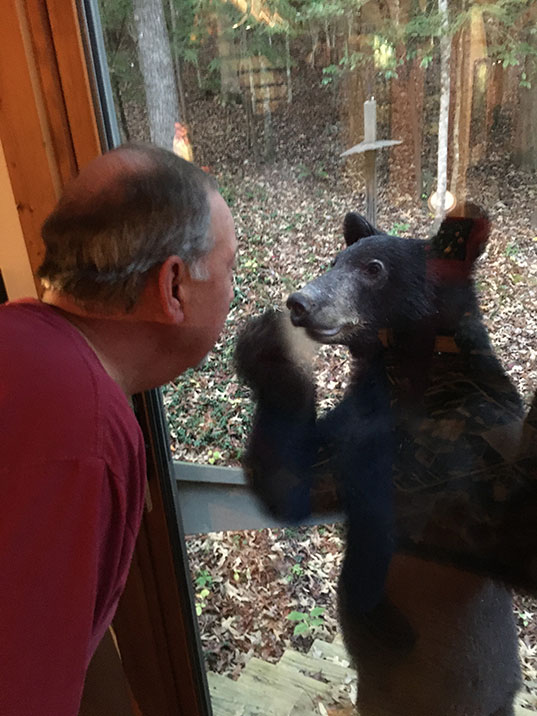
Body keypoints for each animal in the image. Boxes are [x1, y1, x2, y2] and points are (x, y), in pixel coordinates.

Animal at [236, 207, 536, 716]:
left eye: (373, 269)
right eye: (335, 260)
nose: (300, 302)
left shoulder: (473, 432)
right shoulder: (355, 428)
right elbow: (295, 483)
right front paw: (268, 348)